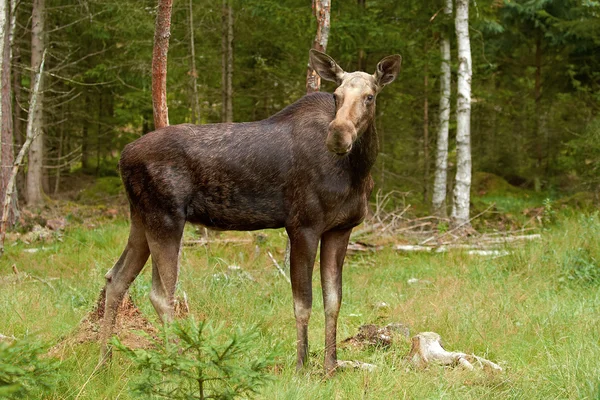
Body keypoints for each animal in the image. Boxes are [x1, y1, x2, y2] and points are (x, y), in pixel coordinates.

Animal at [101, 50, 404, 376]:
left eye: (370, 96)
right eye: (336, 95)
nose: (338, 134)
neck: (357, 172)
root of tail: (122, 157)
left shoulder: (340, 228)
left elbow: (334, 301)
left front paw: (331, 367)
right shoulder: (303, 226)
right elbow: (303, 303)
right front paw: (301, 367)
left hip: (140, 218)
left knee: (116, 278)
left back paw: (104, 361)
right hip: (166, 218)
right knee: (161, 294)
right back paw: (177, 364)